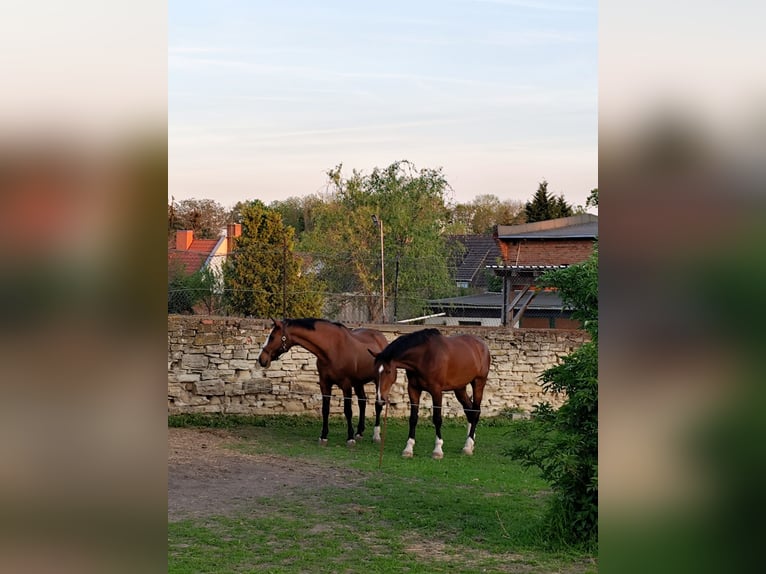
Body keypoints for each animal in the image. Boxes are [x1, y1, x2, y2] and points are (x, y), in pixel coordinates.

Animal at [258, 318, 389, 446]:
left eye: (272, 337)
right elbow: (325, 410)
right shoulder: (325, 384)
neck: (332, 348)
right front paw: (323, 436)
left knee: (378, 405)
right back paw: (359, 432)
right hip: (358, 382)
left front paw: (350, 438)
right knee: (362, 401)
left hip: (377, 381)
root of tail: (381, 338)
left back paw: (376, 436)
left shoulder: (346, 385)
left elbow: (348, 411)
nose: (261, 359)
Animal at [370, 328, 490, 459]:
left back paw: (468, 446)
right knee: (469, 411)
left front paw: (438, 450)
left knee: (476, 411)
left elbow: (437, 419)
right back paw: (470, 441)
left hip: (479, 383)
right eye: (375, 371)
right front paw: (408, 449)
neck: (424, 357)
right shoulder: (413, 389)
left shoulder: (436, 391)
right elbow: (413, 418)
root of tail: (482, 345)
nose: (380, 399)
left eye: (388, 371)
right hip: (460, 388)